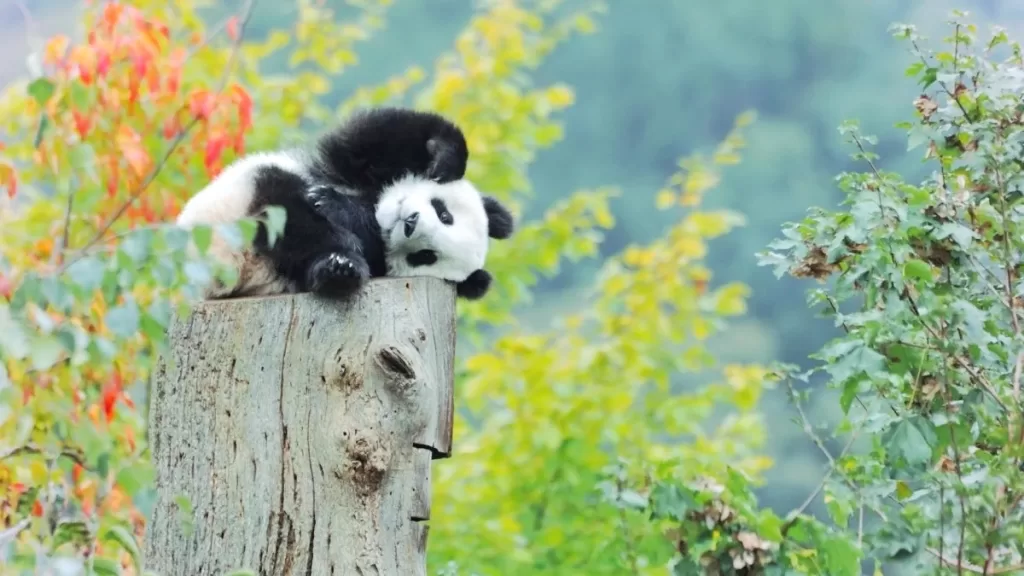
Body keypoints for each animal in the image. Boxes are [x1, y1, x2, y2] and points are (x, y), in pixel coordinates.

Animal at [175, 107, 515, 301]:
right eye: (444, 213)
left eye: (426, 256)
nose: (410, 223)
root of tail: (231, 263)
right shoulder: (352, 166)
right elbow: (375, 136)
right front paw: (445, 160)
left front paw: (338, 208)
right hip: (238, 198)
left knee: (301, 233)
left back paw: (338, 267)